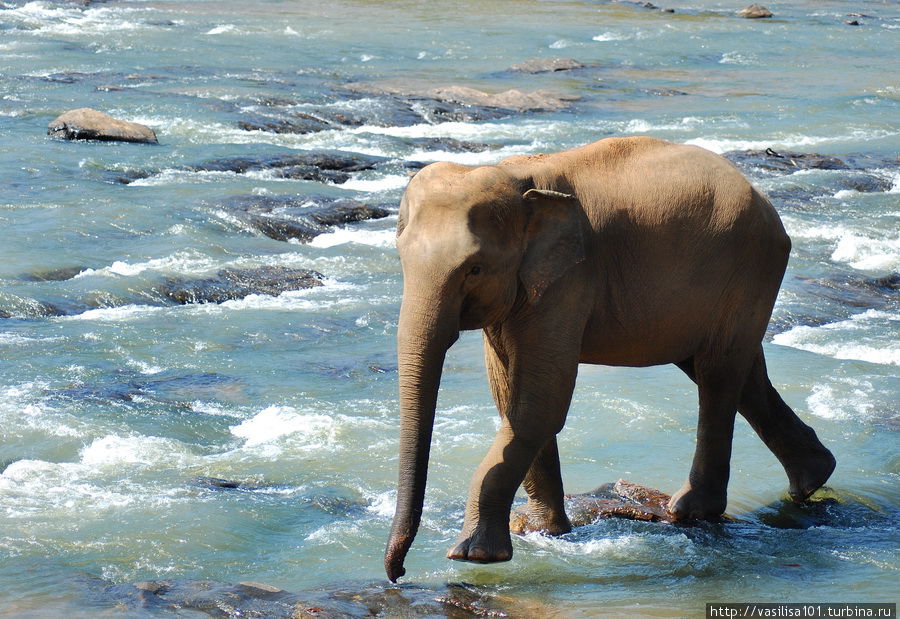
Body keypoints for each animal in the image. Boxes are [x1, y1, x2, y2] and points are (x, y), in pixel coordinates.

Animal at [382, 134, 836, 580]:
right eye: (400, 258)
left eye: (474, 269)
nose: (398, 573)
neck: (516, 177)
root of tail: (761, 197)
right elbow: (508, 393)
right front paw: (540, 530)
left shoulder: (571, 279)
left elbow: (540, 403)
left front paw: (473, 555)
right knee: (739, 373)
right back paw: (813, 478)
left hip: (750, 268)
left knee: (717, 374)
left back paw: (690, 511)